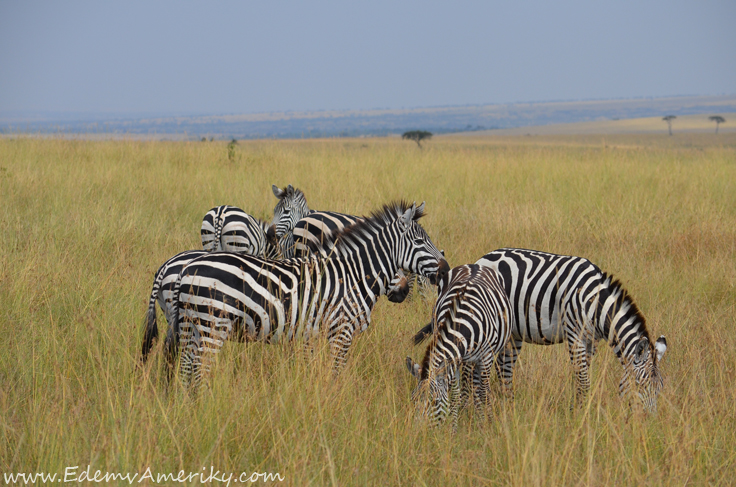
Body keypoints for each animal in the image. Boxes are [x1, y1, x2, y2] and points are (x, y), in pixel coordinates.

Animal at [173, 202, 448, 392]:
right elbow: (336, 372)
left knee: (186, 369)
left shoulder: (313, 333)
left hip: (192, 326)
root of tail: (189, 267)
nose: (445, 269)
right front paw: (334, 404)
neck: (352, 275)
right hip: (212, 327)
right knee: (200, 371)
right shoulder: (341, 331)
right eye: (420, 242)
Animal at [402, 264, 512, 428]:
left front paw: (489, 424)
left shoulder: (486, 357)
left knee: (479, 387)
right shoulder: (454, 360)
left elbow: (484, 393)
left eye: (435, 401)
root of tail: (475, 265)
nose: (418, 431)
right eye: (413, 399)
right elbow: (455, 395)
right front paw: (453, 429)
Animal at [414, 250, 668, 414]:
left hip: (513, 335)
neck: (596, 303)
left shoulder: (591, 341)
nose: (648, 424)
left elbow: (584, 376)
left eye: (660, 390)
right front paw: (580, 416)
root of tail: (483, 257)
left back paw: (508, 407)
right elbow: (582, 379)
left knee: (504, 370)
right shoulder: (575, 334)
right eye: (642, 386)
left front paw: (580, 410)